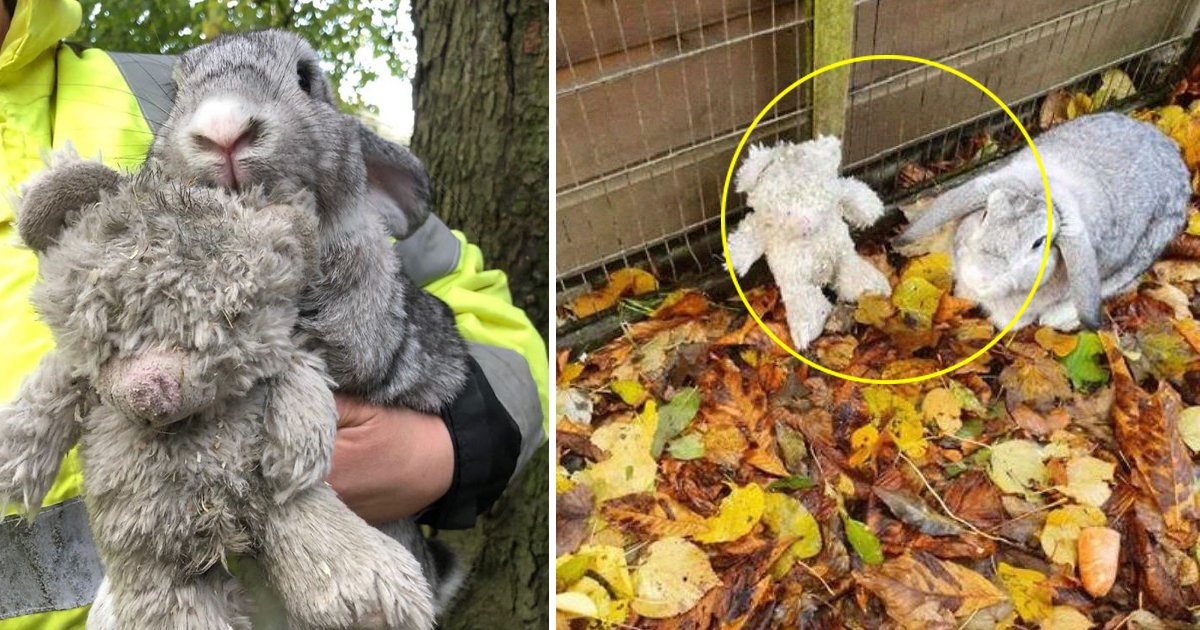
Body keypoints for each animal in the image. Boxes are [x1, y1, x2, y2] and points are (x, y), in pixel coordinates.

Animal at [3, 152, 436, 628]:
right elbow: (48, 402)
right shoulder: (80, 381)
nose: (150, 391)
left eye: (228, 324)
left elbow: (297, 374)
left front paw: (299, 453)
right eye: (114, 320)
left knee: (308, 531)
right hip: (153, 558)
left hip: (279, 513)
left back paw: (370, 602)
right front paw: (11, 462)